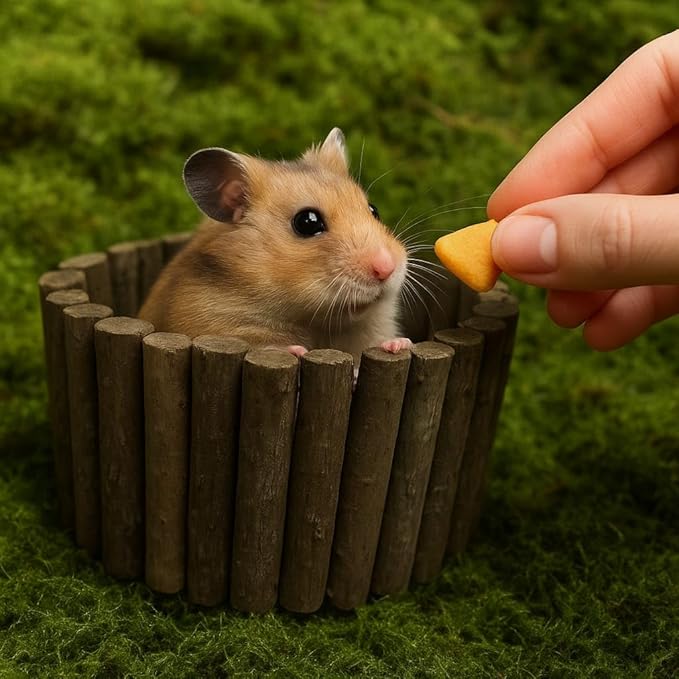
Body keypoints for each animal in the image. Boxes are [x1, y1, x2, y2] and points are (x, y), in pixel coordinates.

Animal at [138, 128, 412, 363]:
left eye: (374, 210)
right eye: (307, 222)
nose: (387, 269)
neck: (318, 320)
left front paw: (399, 344)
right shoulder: (203, 323)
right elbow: (260, 343)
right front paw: (295, 350)